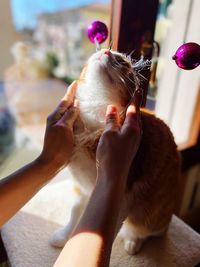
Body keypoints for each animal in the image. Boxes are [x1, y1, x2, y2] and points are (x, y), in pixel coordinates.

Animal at [49, 48, 181, 255]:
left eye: (122, 61)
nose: (105, 51)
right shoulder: (81, 188)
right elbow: (75, 214)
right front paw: (64, 236)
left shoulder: (121, 200)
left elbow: (104, 234)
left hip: (149, 216)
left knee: (144, 231)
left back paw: (133, 243)